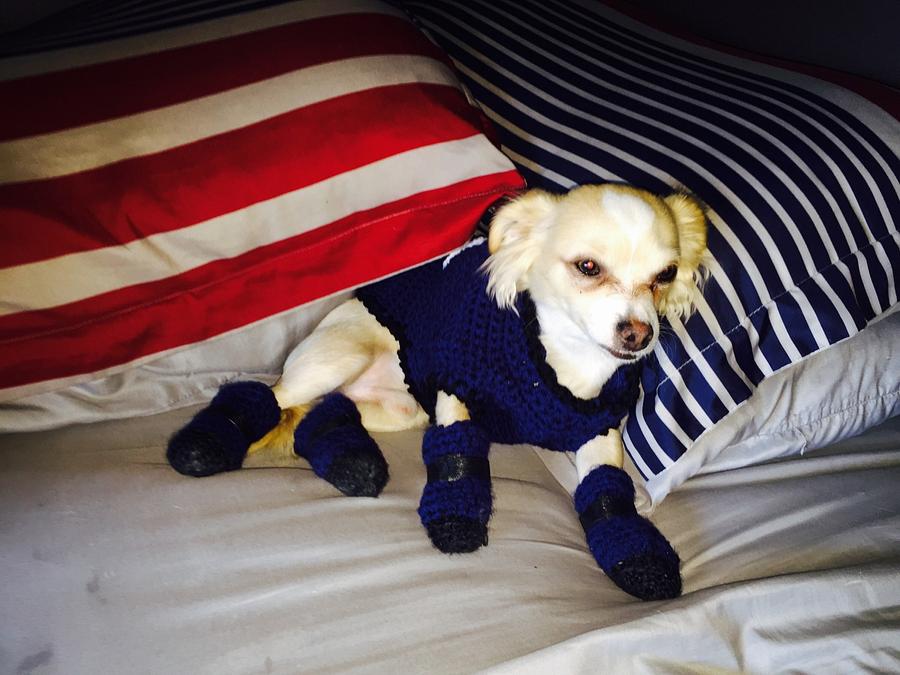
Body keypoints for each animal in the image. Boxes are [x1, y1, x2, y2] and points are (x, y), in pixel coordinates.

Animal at [165, 182, 708, 600]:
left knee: (325, 411)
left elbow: (607, 490)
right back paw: (206, 444)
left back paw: (350, 462)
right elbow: (457, 452)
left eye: (665, 276)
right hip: (336, 359)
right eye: (588, 267)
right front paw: (456, 513)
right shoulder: (454, 388)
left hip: (399, 407)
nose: (639, 335)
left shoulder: (598, 430)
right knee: (270, 399)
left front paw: (636, 551)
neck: (563, 366)